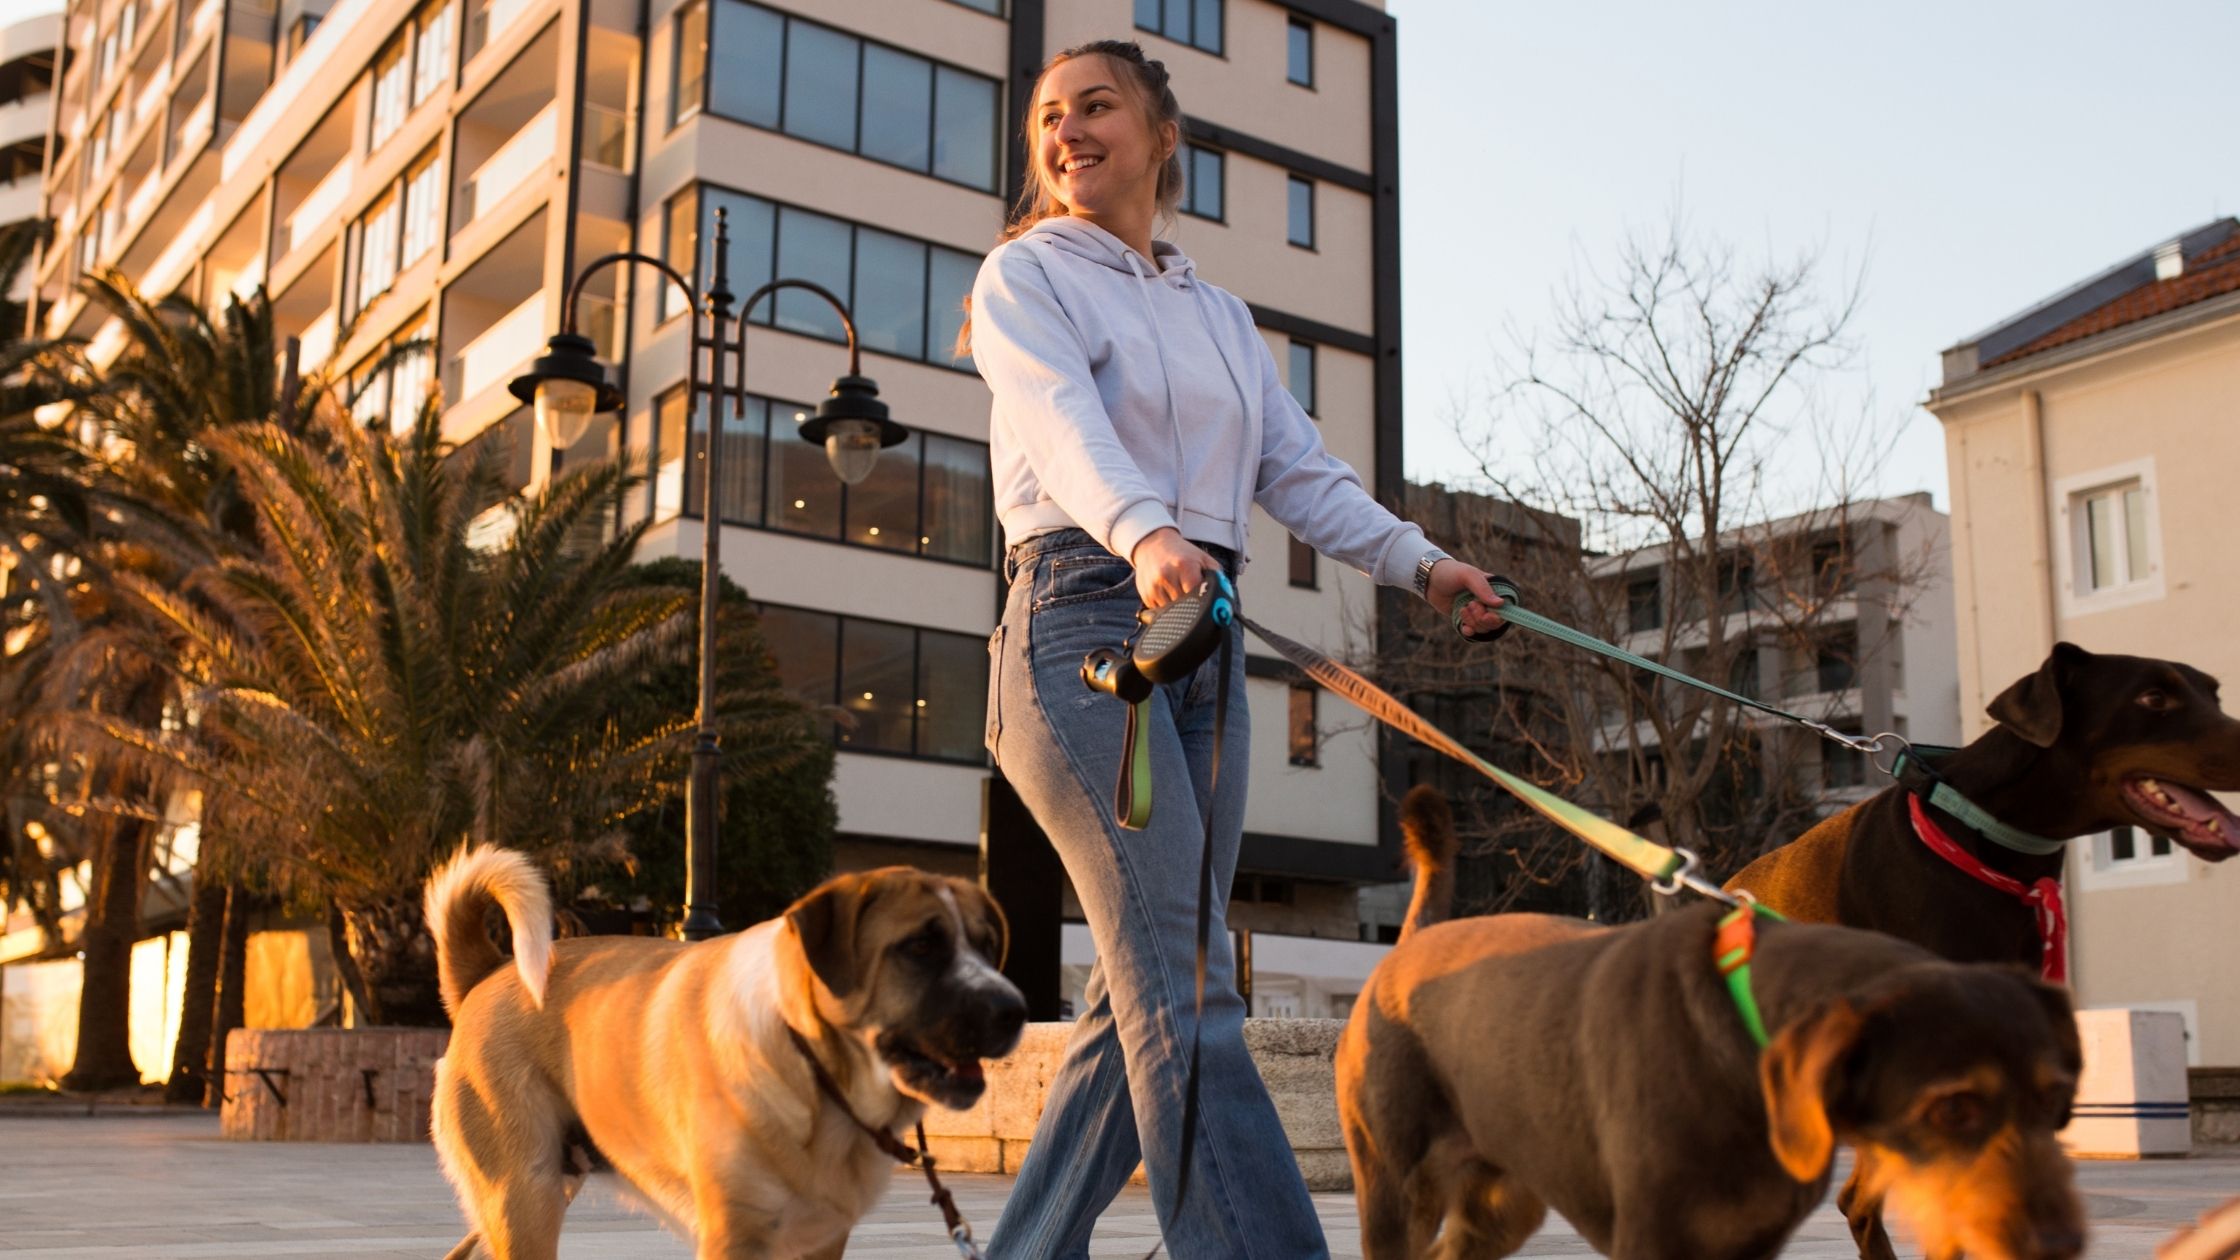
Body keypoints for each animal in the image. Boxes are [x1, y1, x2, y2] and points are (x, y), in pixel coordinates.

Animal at [423, 842, 1025, 1255]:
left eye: (987, 946)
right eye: (921, 946)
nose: (1014, 1009)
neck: (811, 1079)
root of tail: (489, 972)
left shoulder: (823, 1238)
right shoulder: (735, 1236)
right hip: (524, 1195)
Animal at [1326, 784, 2078, 1255]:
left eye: (2054, 1103)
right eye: (1953, 1109)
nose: (2056, 1242)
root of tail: (1409, 946)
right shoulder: (1658, 1234)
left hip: (1502, 1199)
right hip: (1397, 1188)